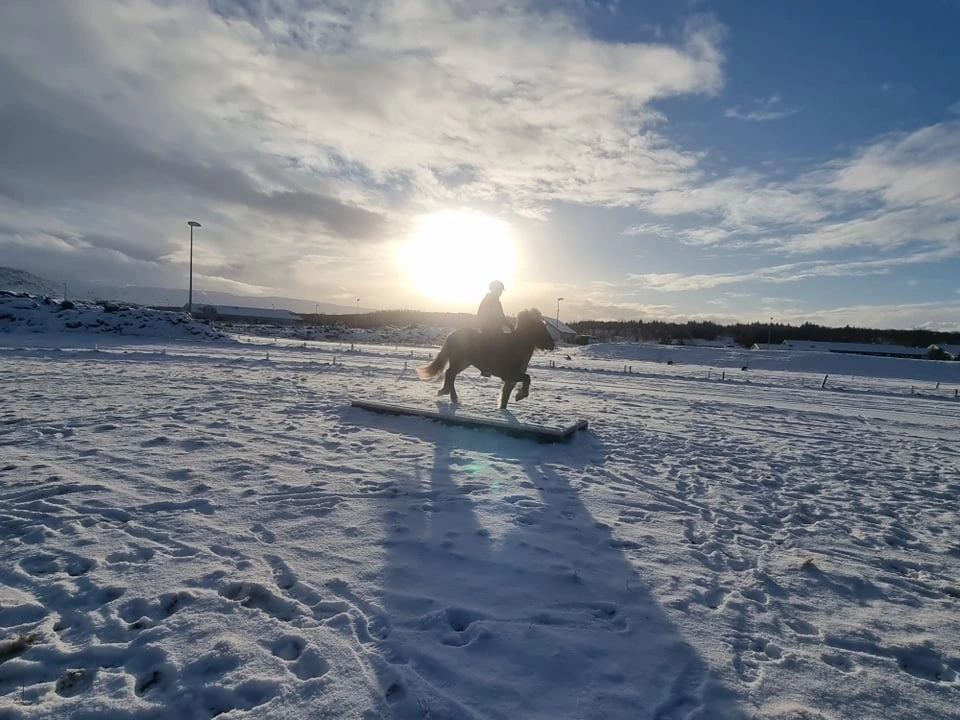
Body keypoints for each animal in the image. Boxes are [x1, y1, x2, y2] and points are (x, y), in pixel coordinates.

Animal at [417, 308, 555, 409]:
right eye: (540, 327)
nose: (552, 344)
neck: (516, 346)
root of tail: (451, 335)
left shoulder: (511, 379)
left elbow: (506, 395)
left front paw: (503, 408)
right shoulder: (510, 375)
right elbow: (527, 378)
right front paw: (520, 395)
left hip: (464, 363)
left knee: (450, 374)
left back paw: (447, 394)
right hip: (459, 361)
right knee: (450, 374)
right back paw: (450, 396)